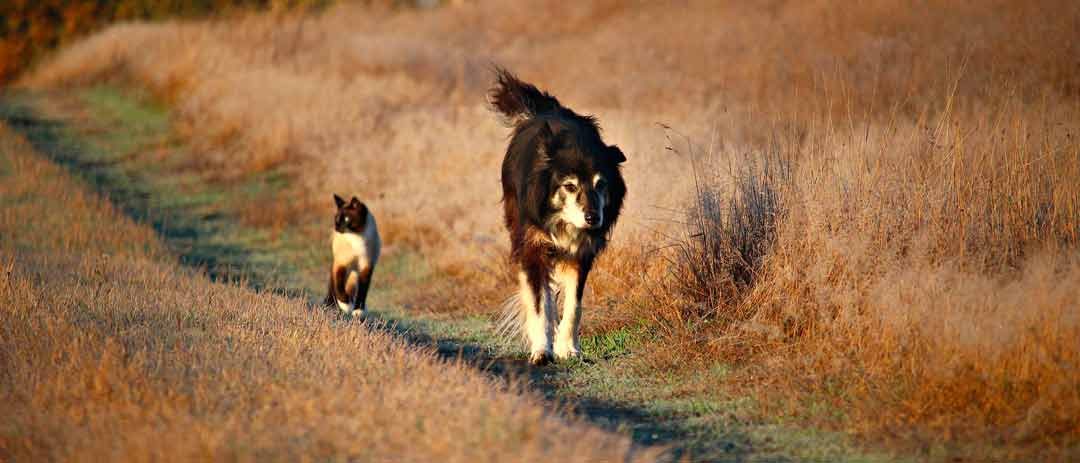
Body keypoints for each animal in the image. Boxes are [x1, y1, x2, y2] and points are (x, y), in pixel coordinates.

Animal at [488, 67, 626, 364]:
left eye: (601, 184)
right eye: (570, 186)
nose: (593, 218)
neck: (563, 221)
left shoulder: (580, 253)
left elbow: (574, 304)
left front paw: (568, 349)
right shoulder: (533, 244)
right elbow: (539, 303)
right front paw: (542, 351)